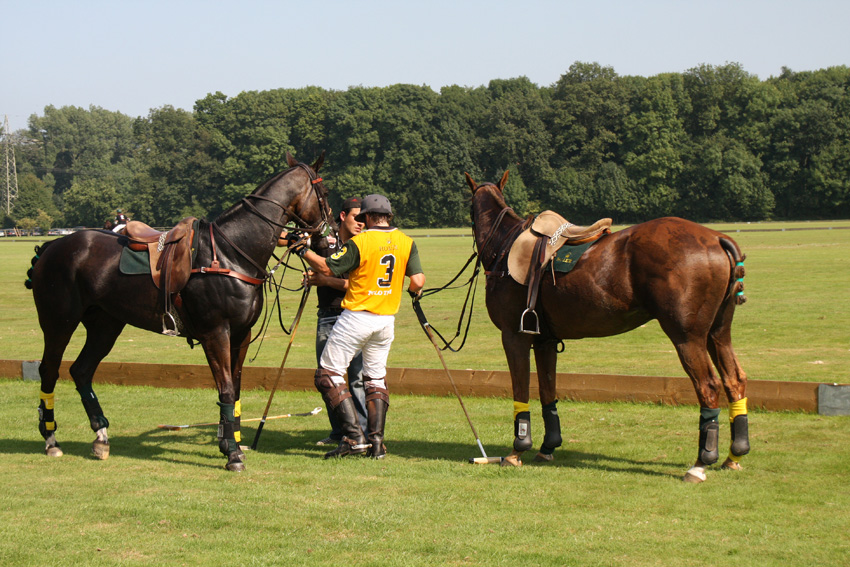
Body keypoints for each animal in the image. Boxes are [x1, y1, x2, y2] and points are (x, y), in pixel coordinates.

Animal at [27, 154, 332, 470]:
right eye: (325, 193)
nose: (329, 237)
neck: (232, 253)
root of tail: (52, 245)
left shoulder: (241, 334)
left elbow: (234, 388)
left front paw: (230, 442)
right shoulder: (215, 333)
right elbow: (225, 388)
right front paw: (233, 454)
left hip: (105, 324)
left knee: (81, 370)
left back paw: (101, 437)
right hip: (59, 320)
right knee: (49, 369)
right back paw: (51, 440)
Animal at [464, 171, 748, 482]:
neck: (504, 247)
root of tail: (718, 238)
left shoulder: (513, 335)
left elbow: (521, 390)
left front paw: (517, 450)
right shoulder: (544, 340)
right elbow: (548, 390)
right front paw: (548, 447)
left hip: (687, 335)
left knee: (708, 385)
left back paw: (700, 463)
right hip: (717, 332)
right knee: (734, 379)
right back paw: (734, 456)